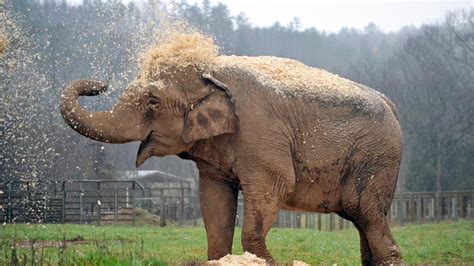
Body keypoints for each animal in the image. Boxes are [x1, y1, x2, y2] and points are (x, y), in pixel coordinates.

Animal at [60, 39, 404, 264]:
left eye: (153, 101)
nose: (100, 85)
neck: (210, 69)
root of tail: (390, 104)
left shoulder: (261, 136)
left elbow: (273, 188)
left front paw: (263, 260)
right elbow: (214, 200)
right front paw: (220, 258)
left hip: (377, 160)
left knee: (369, 216)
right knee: (363, 220)